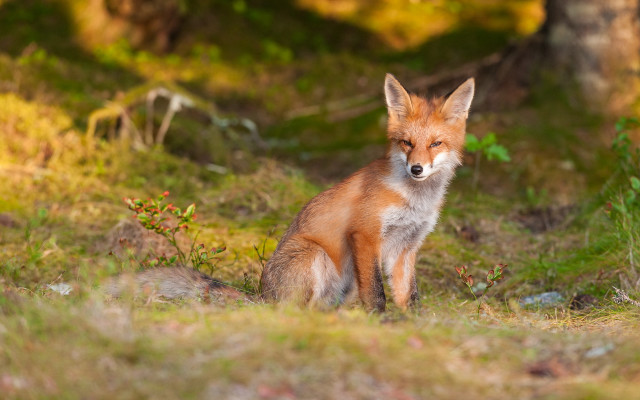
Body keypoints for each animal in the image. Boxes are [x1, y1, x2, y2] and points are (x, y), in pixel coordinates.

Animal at [106, 74, 475, 312]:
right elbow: (377, 293)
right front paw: (380, 322)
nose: (417, 169)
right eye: (406, 143)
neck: (414, 200)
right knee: (292, 311)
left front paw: (410, 325)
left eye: (436, 144)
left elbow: (408, 296)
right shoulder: (365, 234)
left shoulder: (406, 247)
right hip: (316, 255)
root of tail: (262, 296)